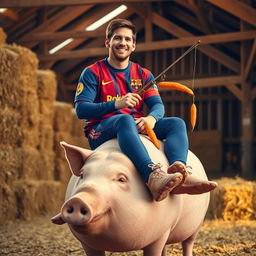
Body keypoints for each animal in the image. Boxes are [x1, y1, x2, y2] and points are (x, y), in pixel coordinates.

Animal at [52, 135, 210, 255]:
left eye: (121, 179)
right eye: (82, 175)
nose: (78, 200)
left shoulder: (160, 233)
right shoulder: (87, 244)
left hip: (197, 224)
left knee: (188, 243)